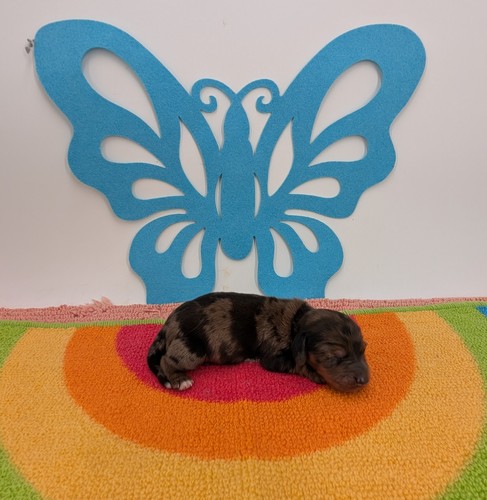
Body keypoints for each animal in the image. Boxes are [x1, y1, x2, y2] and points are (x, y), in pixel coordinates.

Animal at [147, 292, 369, 393]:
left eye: (363, 351)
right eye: (334, 356)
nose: (364, 380)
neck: (296, 323)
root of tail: (168, 322)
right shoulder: (273, 358)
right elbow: (298, 364)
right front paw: (315, 373)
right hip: (193, 348)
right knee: (167, 360)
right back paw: (179, 379)